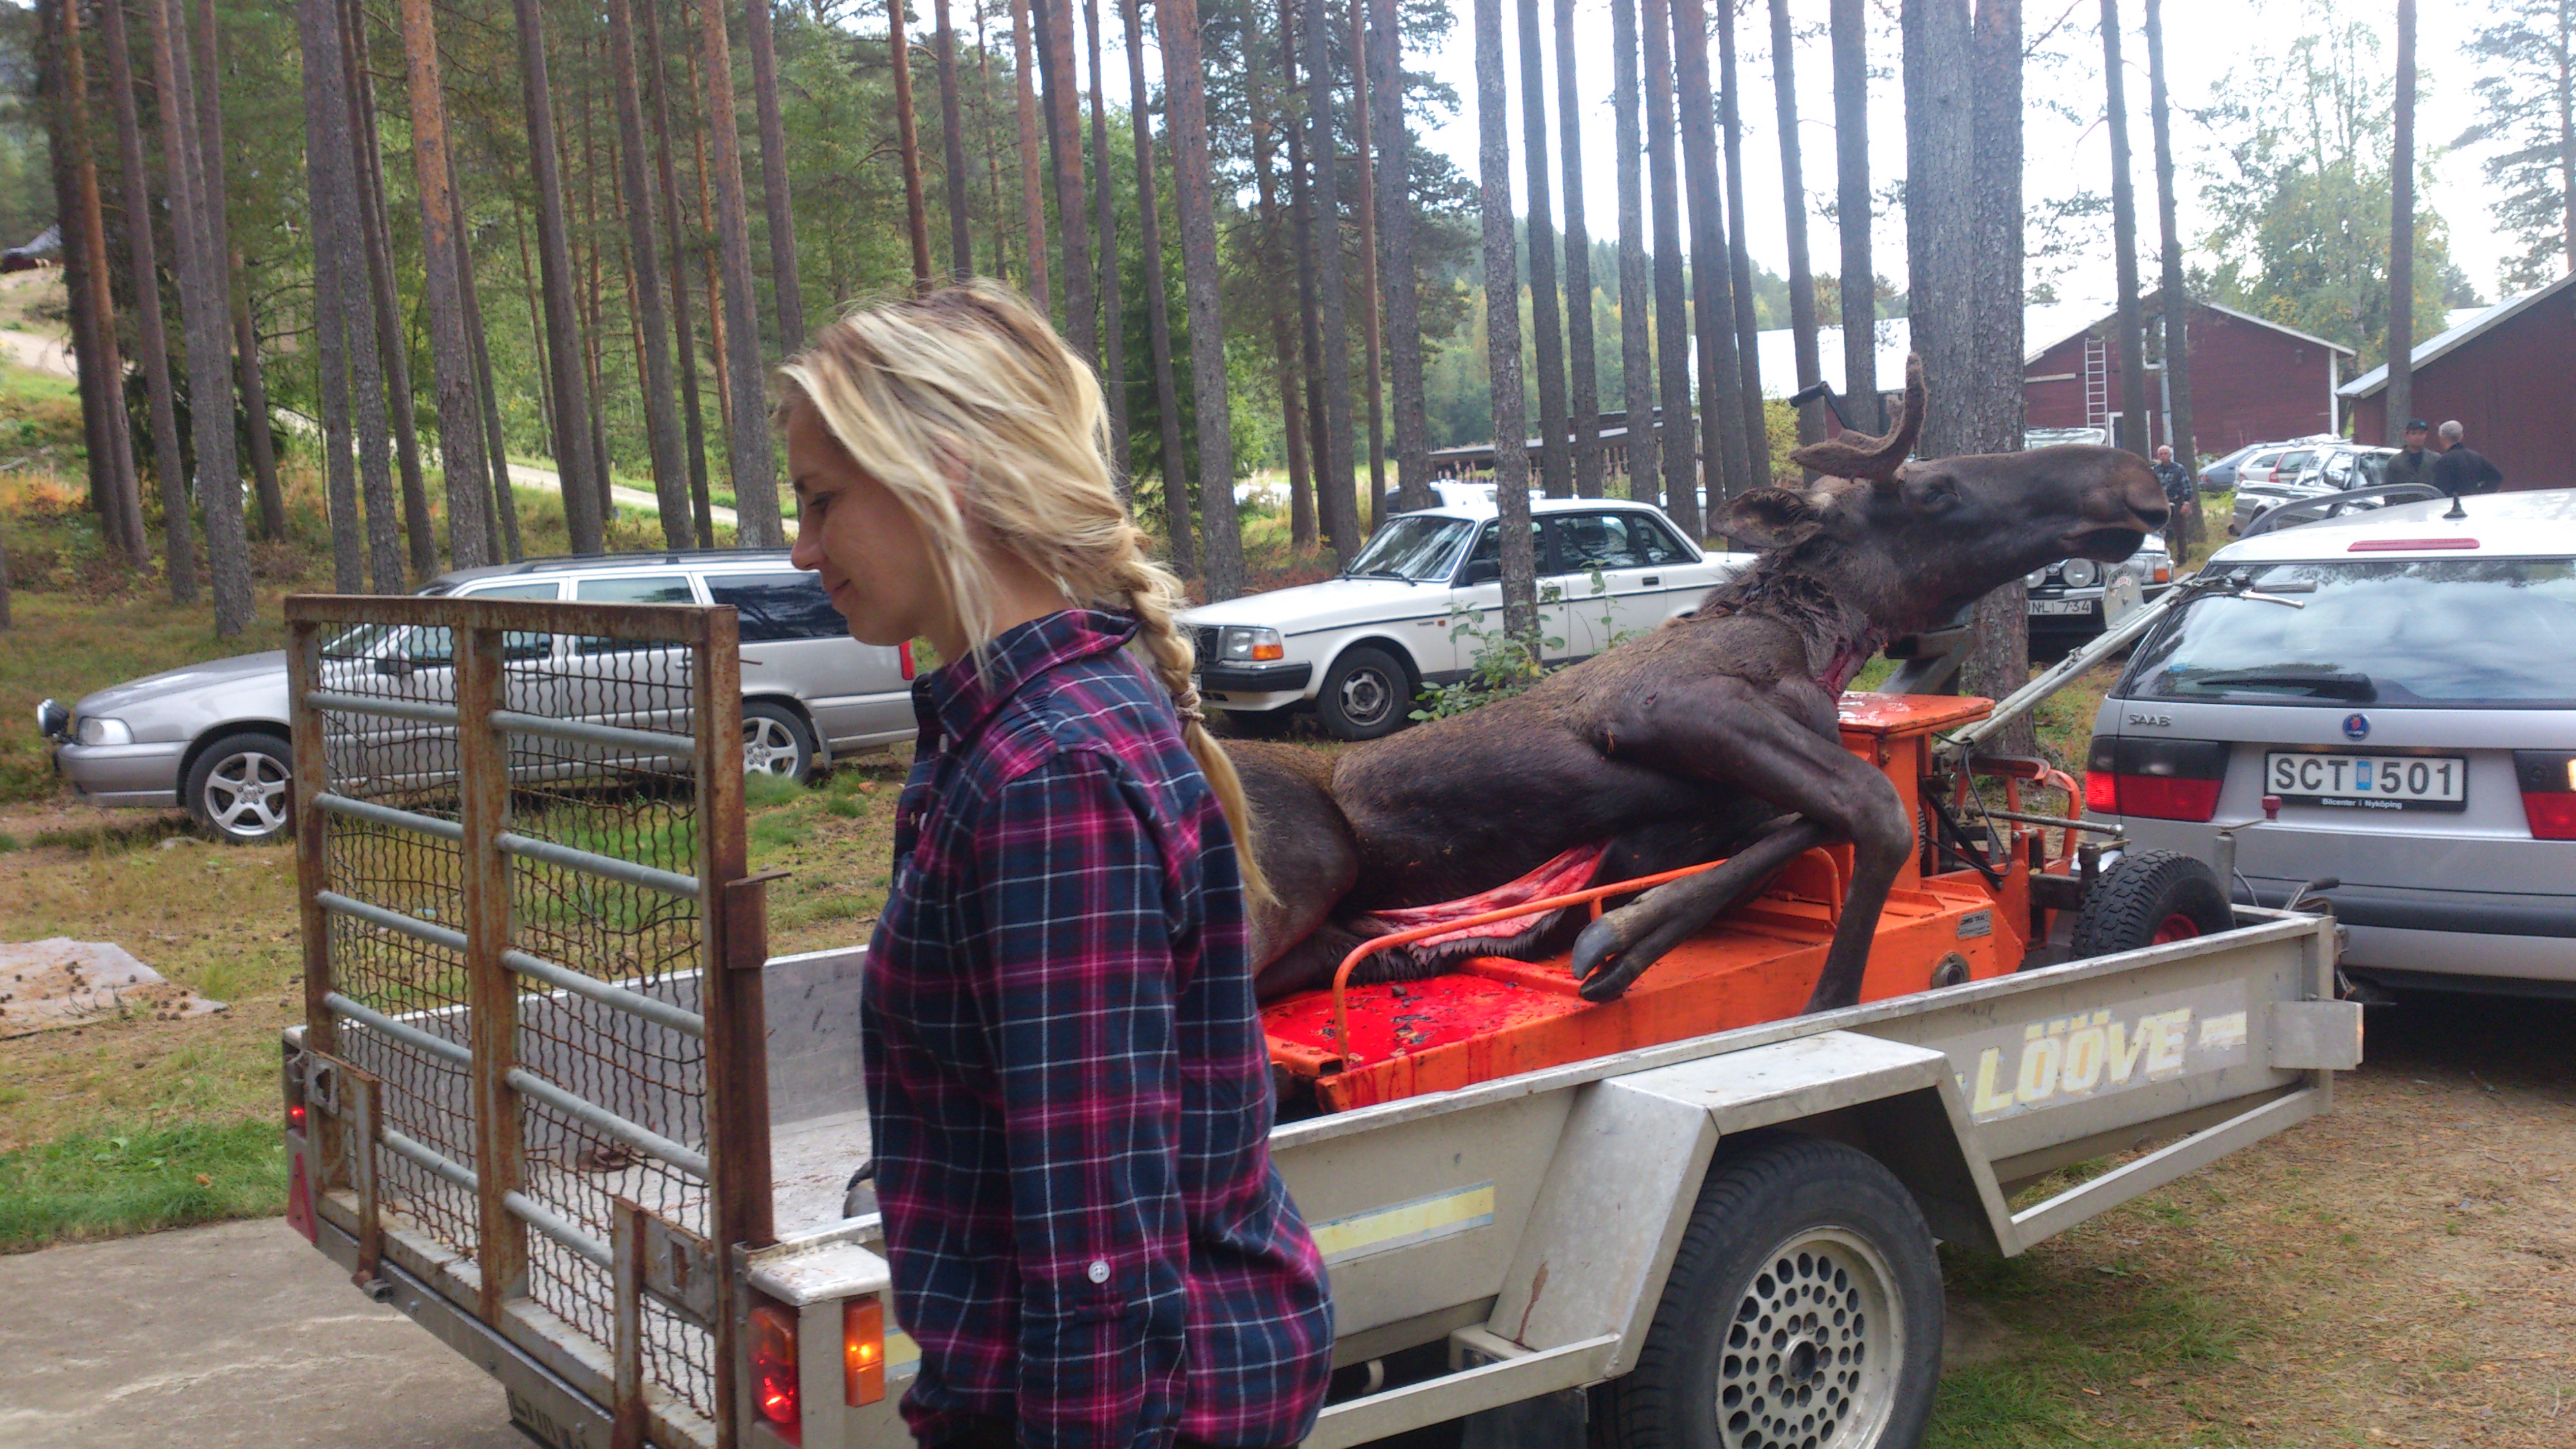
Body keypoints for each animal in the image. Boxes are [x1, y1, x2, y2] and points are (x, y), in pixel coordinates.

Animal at [1230, 359, 2172, 1014]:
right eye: (1936, 488)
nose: (2136, 479)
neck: (1819, 645)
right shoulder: (1665, 705)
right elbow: (1878, 808)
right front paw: (1829, 999)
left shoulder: (1738, 790)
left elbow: (1805, 824)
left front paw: (1623, 932)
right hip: (1295, 871)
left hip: (1316, 943)